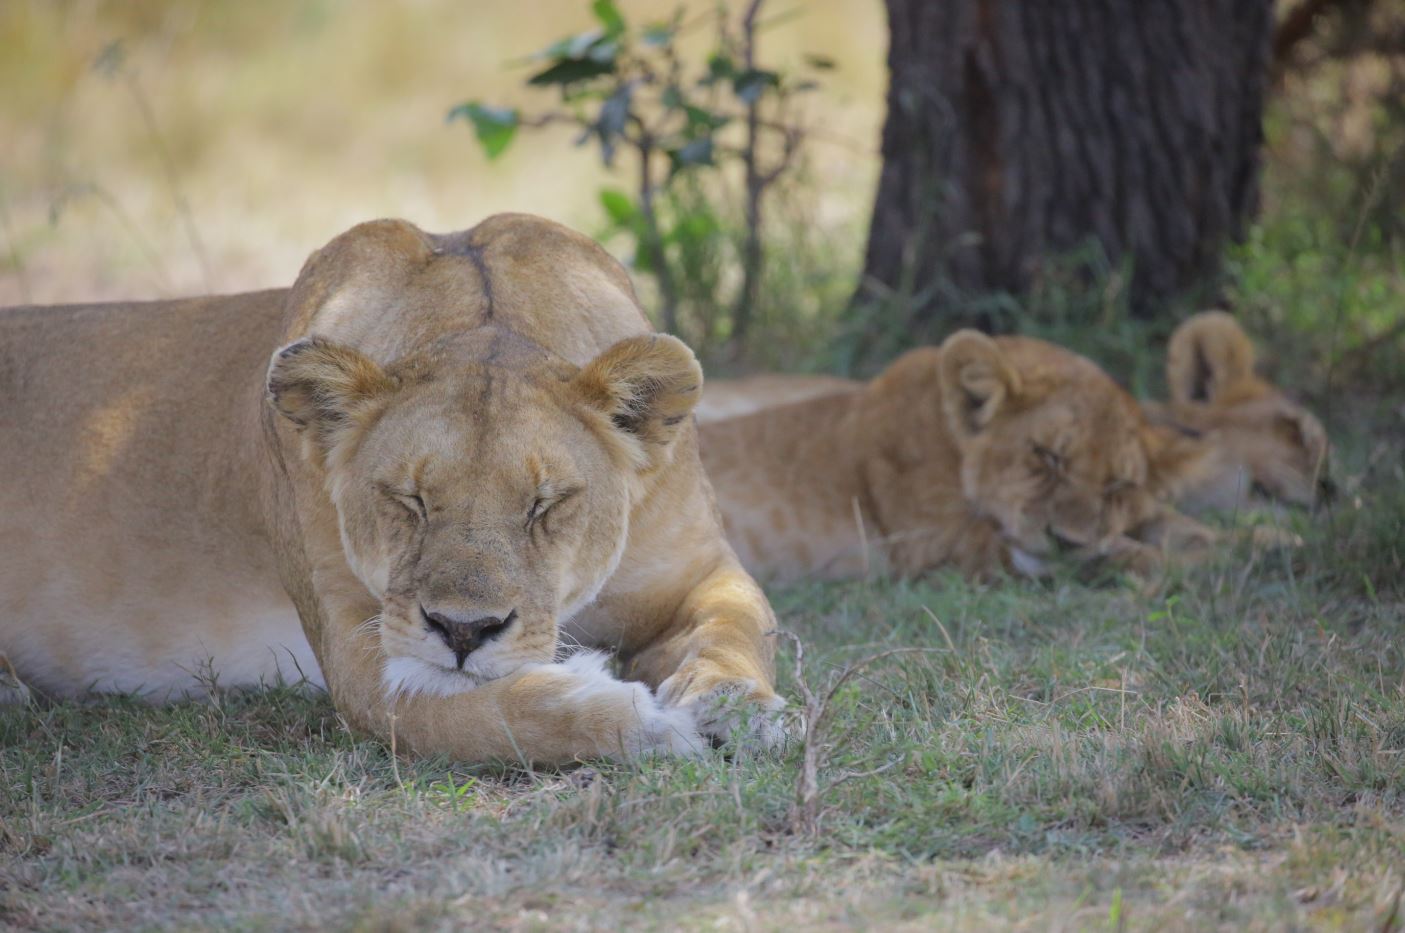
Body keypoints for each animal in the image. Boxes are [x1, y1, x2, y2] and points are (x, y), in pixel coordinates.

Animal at [0, 215, 785, 764]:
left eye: (545, 504)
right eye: (410, 500)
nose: (464, 631)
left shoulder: (698, 569)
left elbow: (737, 630)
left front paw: (740, 708)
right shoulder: (353, 647)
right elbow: (471, 715)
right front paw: (642, 721)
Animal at [698, 330, 1213, 583]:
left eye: (1117, 484)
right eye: (1045, 455)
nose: (1067, 540)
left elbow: (1183, 527)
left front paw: (1221, 545)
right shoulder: (940, 543)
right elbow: (1119, 552)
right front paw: (1159, 562)